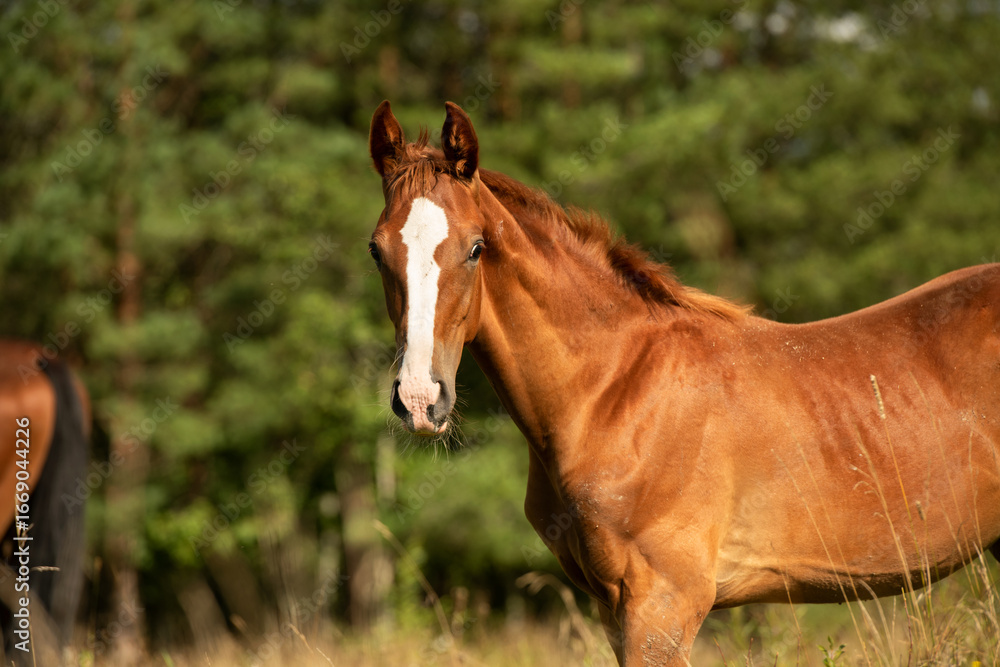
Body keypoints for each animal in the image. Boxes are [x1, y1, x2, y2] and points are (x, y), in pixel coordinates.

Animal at [366, 101, 1000, 665]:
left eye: (476, 247)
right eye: (376, 250)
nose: (420, 399)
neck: (613, 390)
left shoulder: (663, 605)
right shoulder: (614, 609)